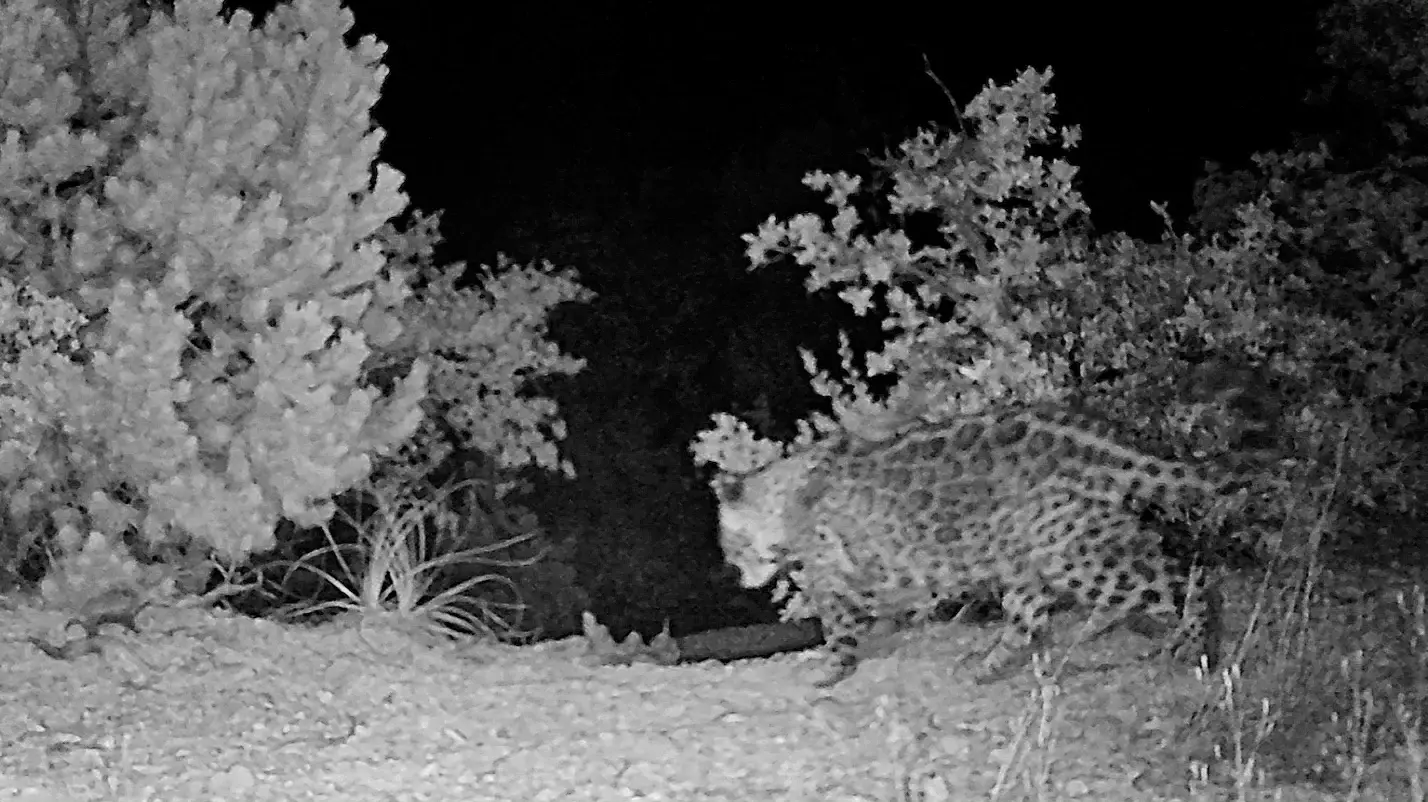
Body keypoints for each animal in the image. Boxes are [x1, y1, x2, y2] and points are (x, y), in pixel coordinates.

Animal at [714, 403, 1246, 686]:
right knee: (1031, 618)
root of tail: (1098, 442)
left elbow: (840, 628)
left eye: (730, 545)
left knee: (1180, 576)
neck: (782, 500)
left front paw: (829, 669)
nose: (738, 576)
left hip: (1075, 555)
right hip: (1039, 552)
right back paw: (991, 666)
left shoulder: (832, 579)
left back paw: (1193, 645)